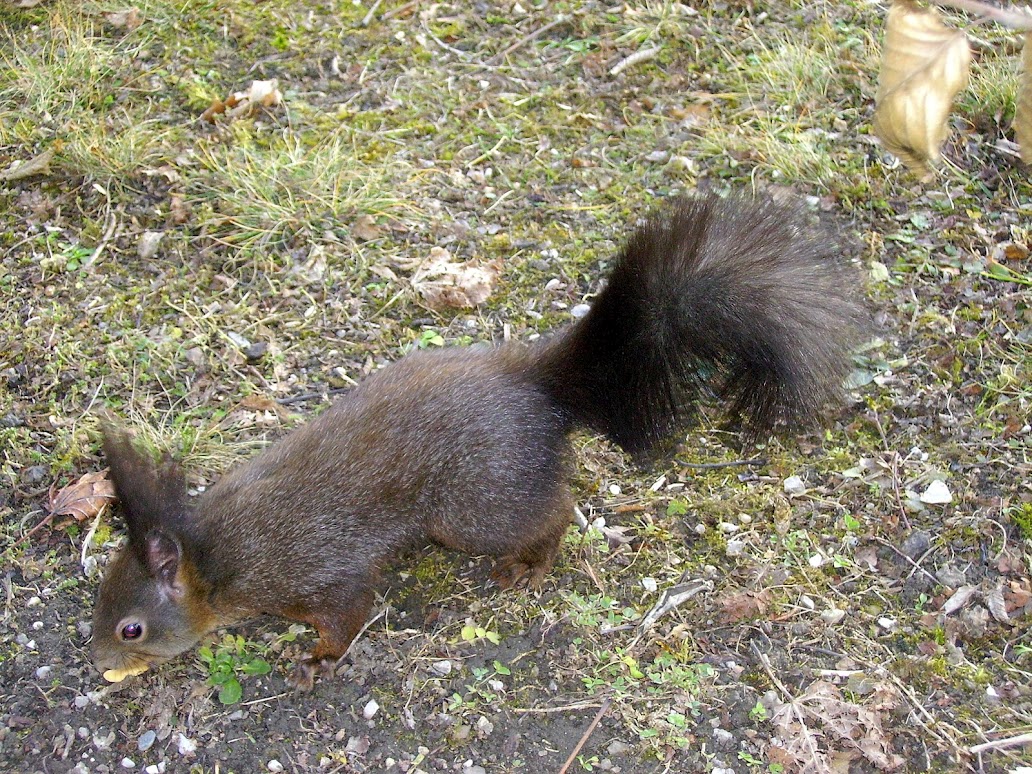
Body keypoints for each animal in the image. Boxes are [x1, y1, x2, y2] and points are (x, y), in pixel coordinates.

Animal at [91, 193, 865, 689]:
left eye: (131, 629)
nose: (99, 662)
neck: (215, 551)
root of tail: (534, 384)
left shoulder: (315, 572)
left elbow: (349, 613)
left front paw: (320, 660)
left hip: (472, 509)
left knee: (555, 511)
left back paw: (531, 564)